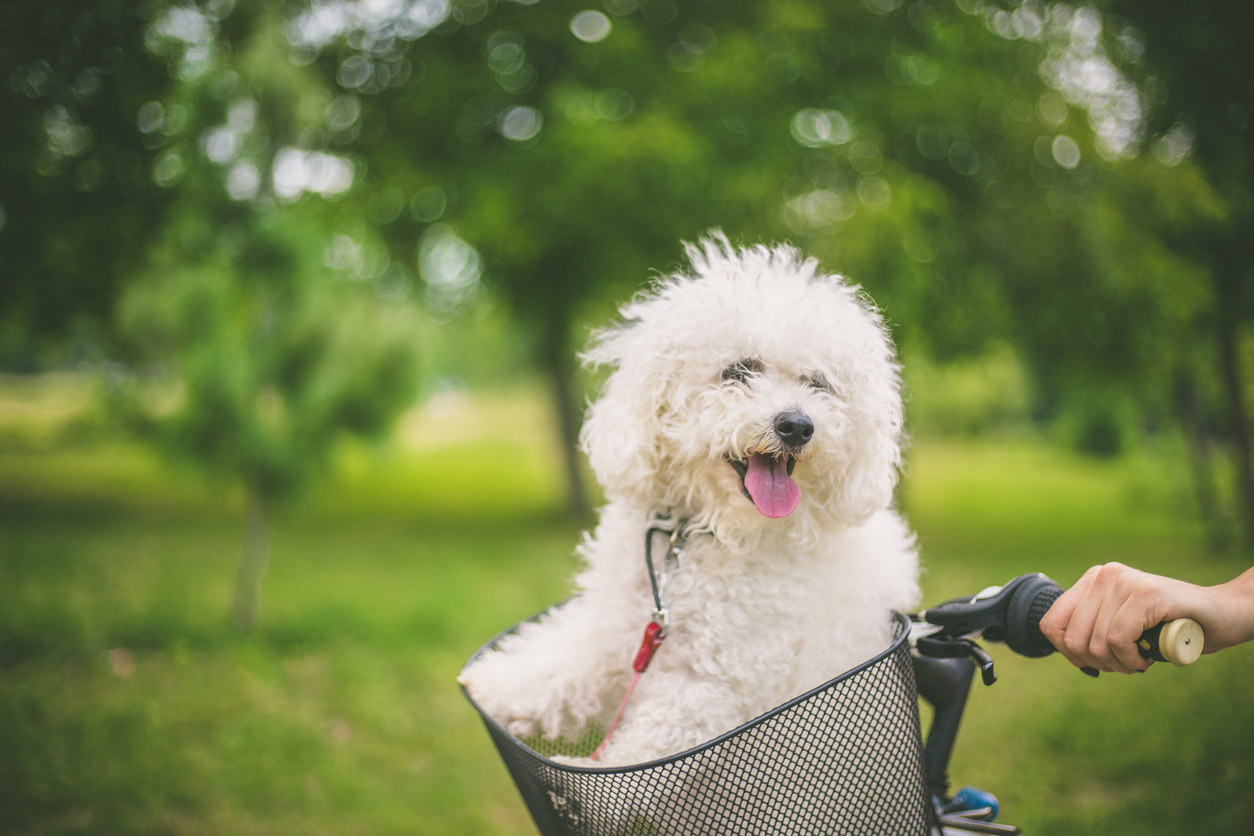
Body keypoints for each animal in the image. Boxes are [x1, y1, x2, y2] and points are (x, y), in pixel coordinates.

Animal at [463, 231, 922, 777]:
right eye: (738, 371)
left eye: (818, 384)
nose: (798, 425)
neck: (701, 537)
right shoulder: (617, 629)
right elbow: (563, 666)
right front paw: (496, 684)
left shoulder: (710, 682)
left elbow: (644, 756)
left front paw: (586, 782)